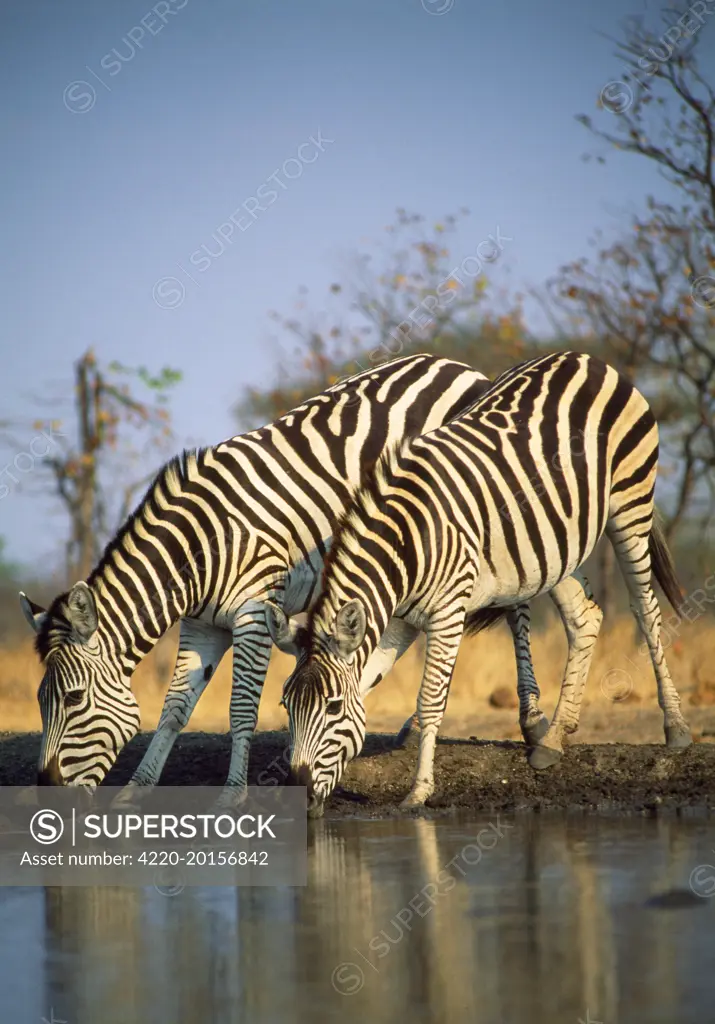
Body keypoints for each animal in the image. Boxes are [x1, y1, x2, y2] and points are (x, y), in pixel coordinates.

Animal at [18, 356, 594, 802]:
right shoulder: (202, 624)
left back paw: (534, 724)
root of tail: (463, 368)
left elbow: (240, 709)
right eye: (41, 700)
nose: (46, 790)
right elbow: (175, 708)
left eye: (72, 700)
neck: (199, 548)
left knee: (521, 607)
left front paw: (232, 796)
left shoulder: (253, 613)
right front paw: (137, 790)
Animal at [272, 352, 692, 815]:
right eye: (286, 705)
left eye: (331, 708)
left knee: (645, 608)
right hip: (555, 543)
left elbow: (430, 700)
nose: (299, 792)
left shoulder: (446, 612)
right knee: (584, 618)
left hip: (630, 502)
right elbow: (372, 678)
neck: (407, 543)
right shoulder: (399, 620)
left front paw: (419, 791)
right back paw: (553, 739)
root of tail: (584, 358)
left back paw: (675, 727)